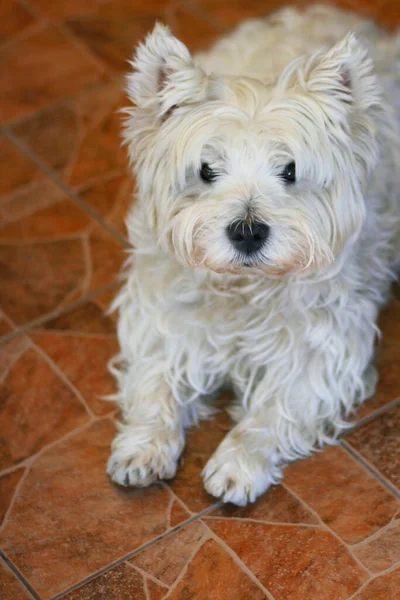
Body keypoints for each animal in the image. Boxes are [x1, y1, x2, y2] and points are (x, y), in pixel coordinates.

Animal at [107, 5, 400, 506]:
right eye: (206, 170)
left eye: (290, 170)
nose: (247, 233)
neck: (242, 288)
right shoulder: (162, 320)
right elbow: (155, 382)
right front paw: (143, 446)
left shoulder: (322, 349)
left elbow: (274, 409)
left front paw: (238, 463)